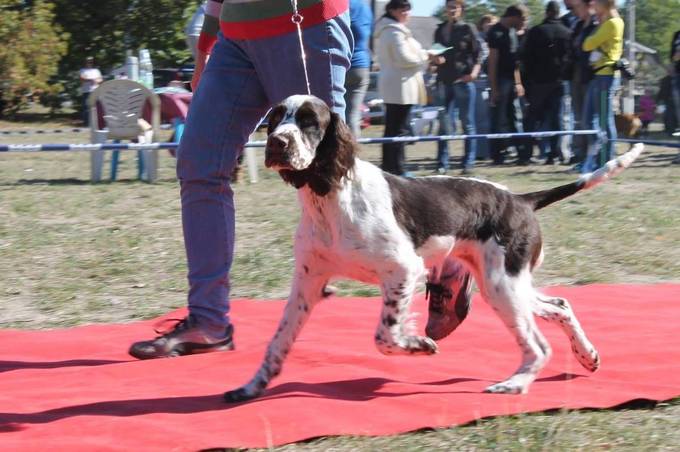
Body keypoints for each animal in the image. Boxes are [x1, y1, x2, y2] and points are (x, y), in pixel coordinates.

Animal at [226, 93, 644, 400]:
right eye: (275, 119)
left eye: (309, 122)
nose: (277, 144)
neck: (329, 197)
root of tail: (520, 199)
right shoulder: (308, 282)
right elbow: (278, 342)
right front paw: (250, 387)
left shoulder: (403, 269)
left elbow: (385, 336)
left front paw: (419, 344)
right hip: (506, 284)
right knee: (560, 304)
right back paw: (587, 357)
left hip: (502, 285)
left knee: (539, 344)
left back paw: (514, 385)